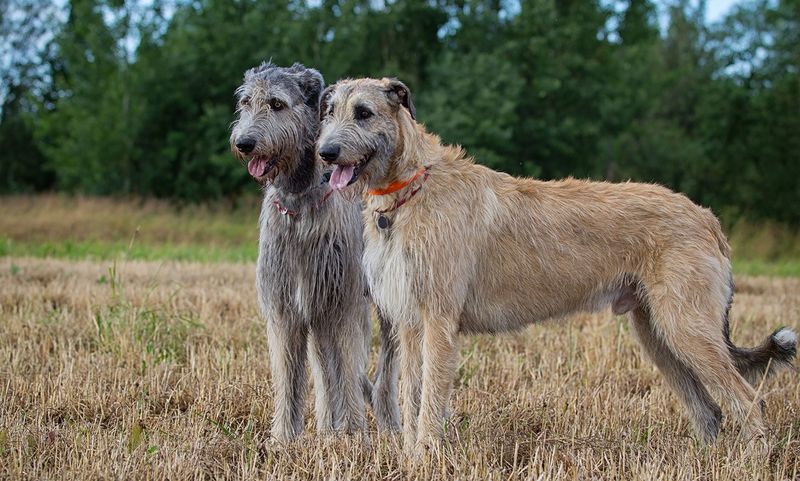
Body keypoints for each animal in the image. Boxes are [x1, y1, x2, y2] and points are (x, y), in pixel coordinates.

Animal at [230, 63, 398, 442]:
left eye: (277, 104)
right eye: (246, 102)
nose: (244, 142)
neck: (298, 202)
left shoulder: (343, 303)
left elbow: (348, 367)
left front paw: (353, 434)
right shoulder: (287, 307)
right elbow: (289, 375)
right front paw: (283, 439)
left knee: (385, 370)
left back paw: (389, 421)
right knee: (324, 370)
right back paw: (325, 425)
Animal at [316, 77, 796, 452]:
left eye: (363, 112)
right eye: (329, 111)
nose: (325, 153)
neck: (410, 188)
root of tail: (707, 218)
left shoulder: (438, 320)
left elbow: (430, 399)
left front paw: (426, 456)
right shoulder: (412, 324)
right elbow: (413, 396)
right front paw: (414, 453)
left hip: (686, 326)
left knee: (748, 398)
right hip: (658, 334)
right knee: (709, 409)